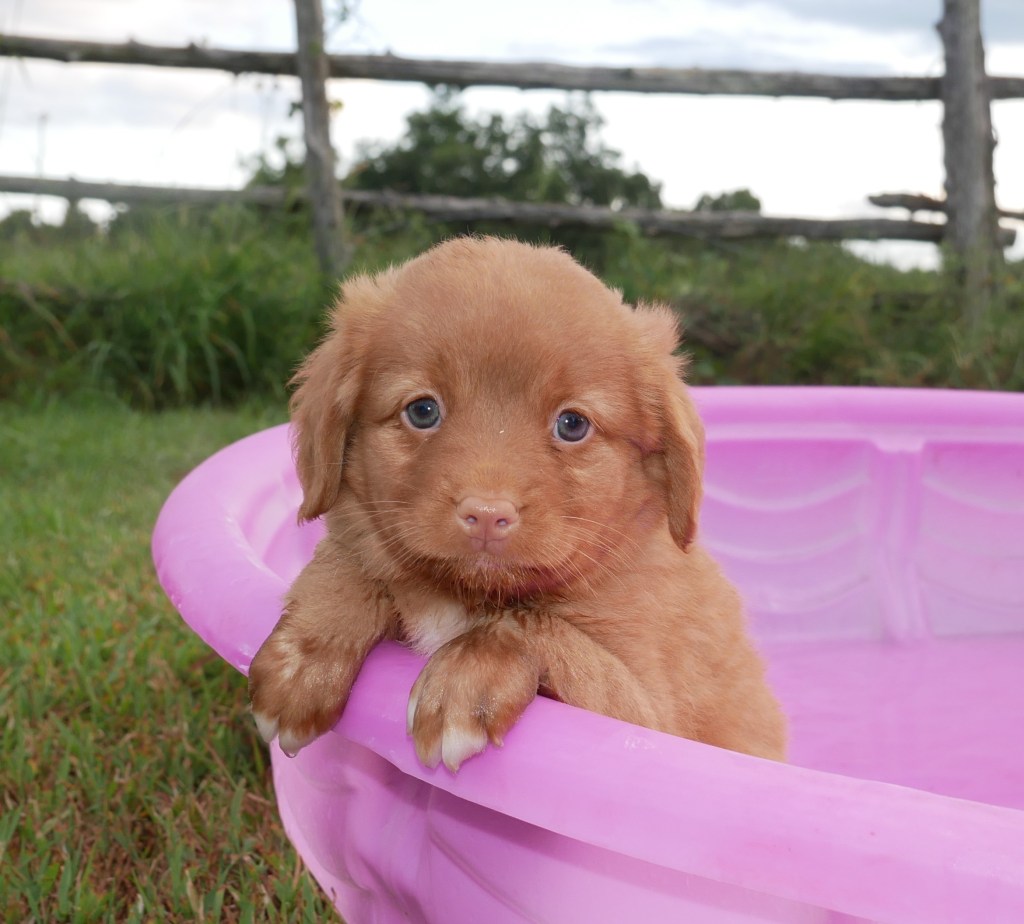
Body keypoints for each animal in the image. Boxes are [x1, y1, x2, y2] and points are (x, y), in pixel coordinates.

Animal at [249, 237, 786, 771]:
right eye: (422, 410)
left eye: (572, 424)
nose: (487, 516)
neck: (464, 597)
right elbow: (349, 564)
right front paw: (307, 656)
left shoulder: (645, 715)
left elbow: (531, 623)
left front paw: (465, 678)